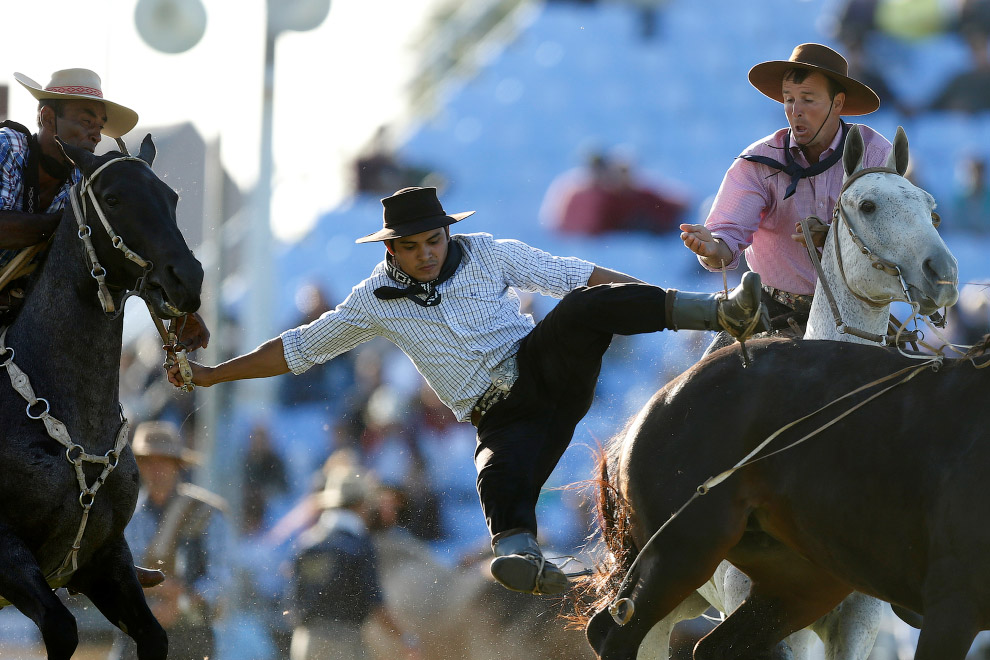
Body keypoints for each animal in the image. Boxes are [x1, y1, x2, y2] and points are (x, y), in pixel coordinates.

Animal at [0, 137, 203, 656]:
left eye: (171, 197)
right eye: (112, 198)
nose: (187, 278)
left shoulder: (106, 557)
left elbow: (153, 635)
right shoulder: (4, 553)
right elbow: (61, 627)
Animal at [584, 338, 990, 660]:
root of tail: (663, 395)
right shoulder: (953, 604)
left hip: (800, 582)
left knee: (716, 647)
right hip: (680, 551)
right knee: (614, 635)